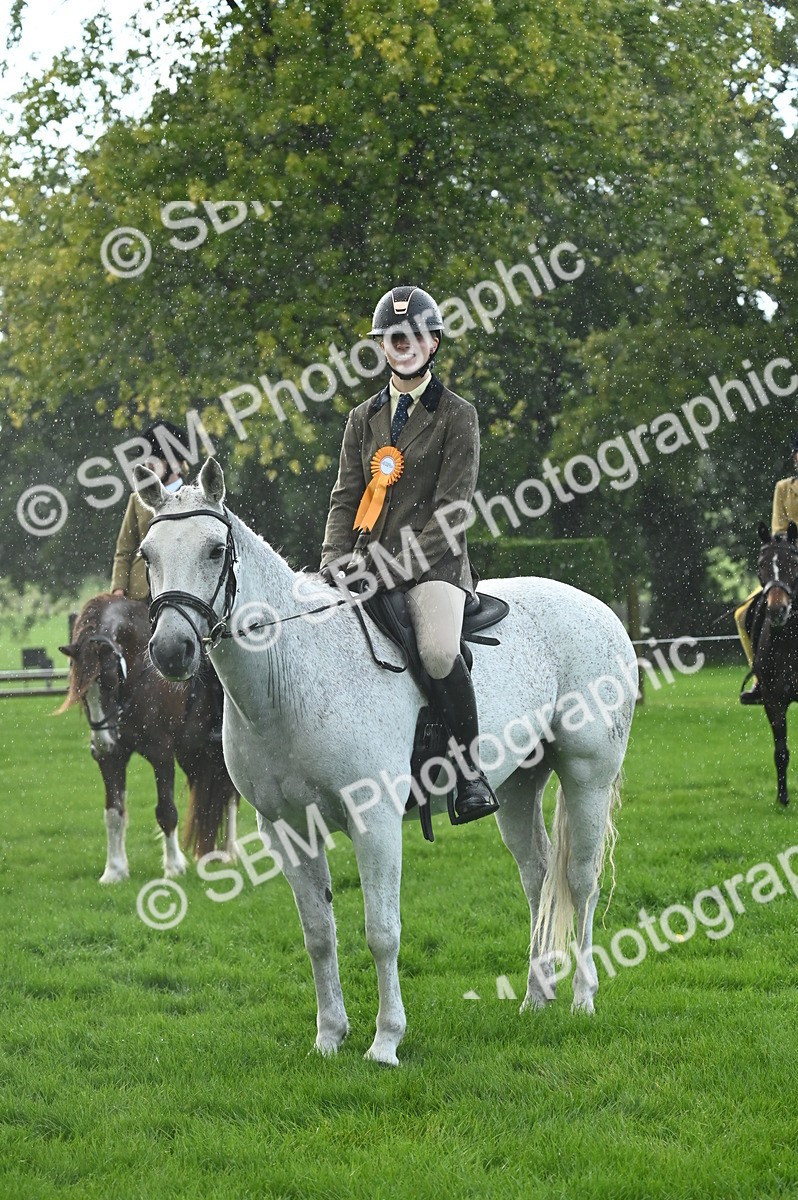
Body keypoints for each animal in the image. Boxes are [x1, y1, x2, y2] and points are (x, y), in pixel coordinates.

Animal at [59, 593, 239, 883]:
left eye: (111, 682)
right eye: (80, 692)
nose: (101, 744)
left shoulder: (161, 752)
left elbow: (166, 811)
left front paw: (174, 867)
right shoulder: (113, 759)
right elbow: (113, 812)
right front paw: (114, 870)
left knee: (230, 793)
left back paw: (229, 851)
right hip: (191, 753)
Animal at [138, 459, 637, 1065]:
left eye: (214, 550)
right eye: (147, 554)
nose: (171, 651)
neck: (293, 674)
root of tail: (599, 609)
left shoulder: (373, 822)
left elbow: (382, 932)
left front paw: (386, 1041)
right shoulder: (286, 829)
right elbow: (319, 934)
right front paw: (330, 1036)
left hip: (588, 777)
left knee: (580, 881)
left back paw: (583, 998)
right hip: (519, 788)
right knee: (539, 878)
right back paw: (536, 998)